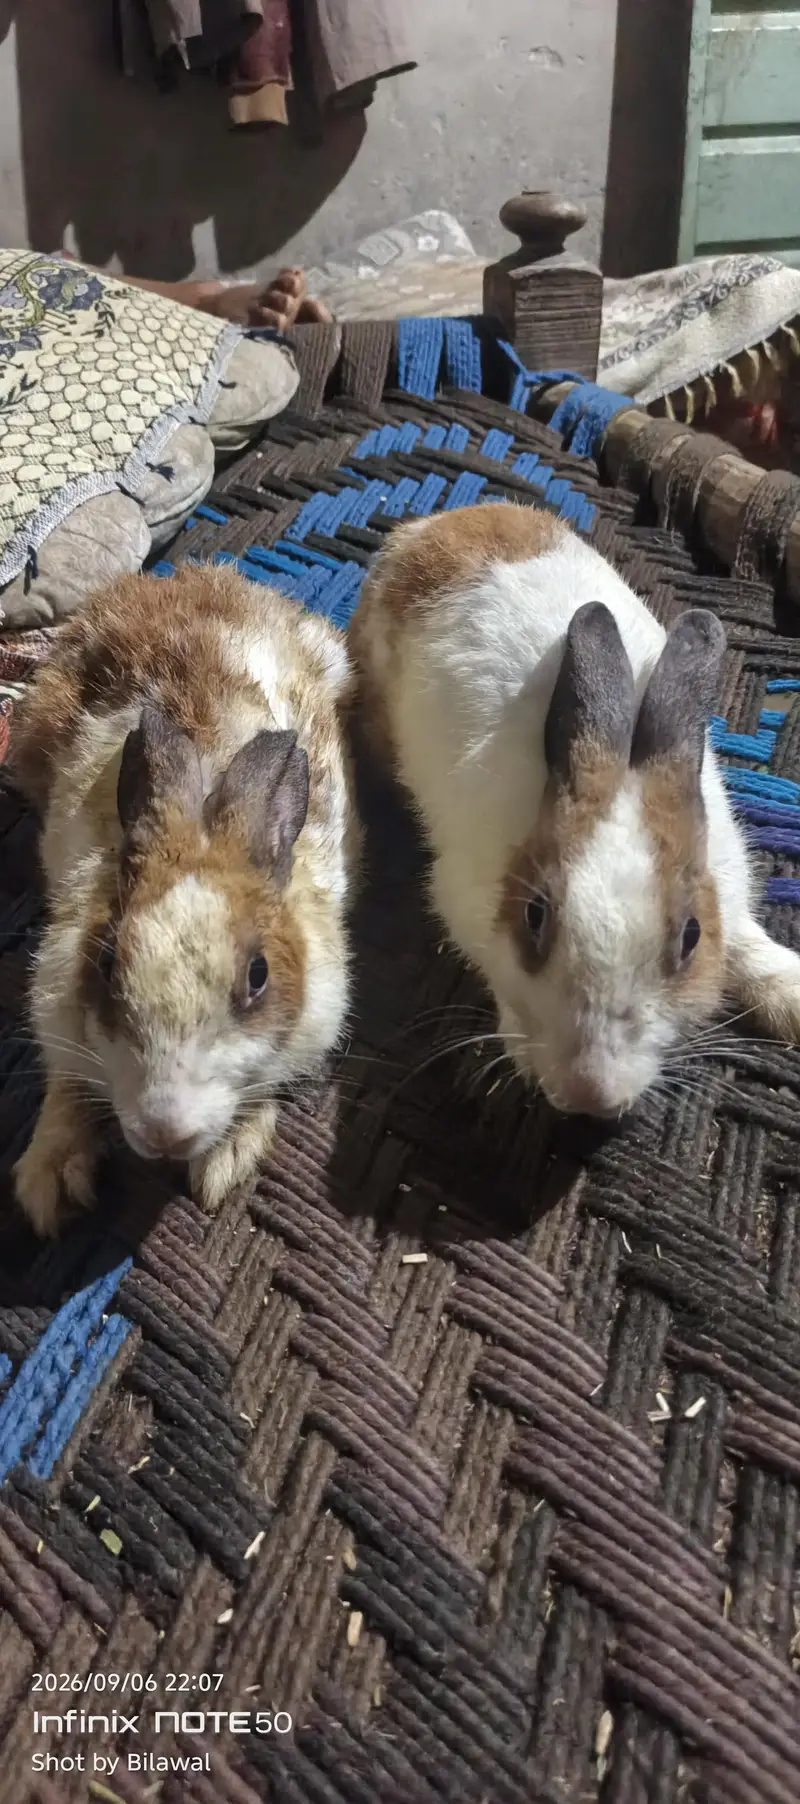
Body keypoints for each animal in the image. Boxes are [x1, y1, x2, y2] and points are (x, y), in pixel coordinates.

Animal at [10, 563, 359, 1236]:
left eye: (258, 974)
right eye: (106, 964)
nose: (164, 1132)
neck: (201, 827)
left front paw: (225, 1163)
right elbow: (66, 1084)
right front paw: (50, 1183)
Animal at [348, 501, 800, 1117]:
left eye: (691, 935)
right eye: (534, 916)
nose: (590, 1092)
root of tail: (430, 526)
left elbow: (748, 946)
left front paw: (793, 997)